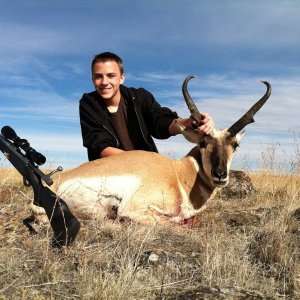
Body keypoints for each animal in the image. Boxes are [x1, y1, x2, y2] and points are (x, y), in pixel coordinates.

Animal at [38, 76, 272, 224]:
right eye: (202, 143)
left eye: (235, 145)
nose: (220, 175)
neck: (179, 174)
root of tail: (54, 182)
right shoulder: (136, 208)